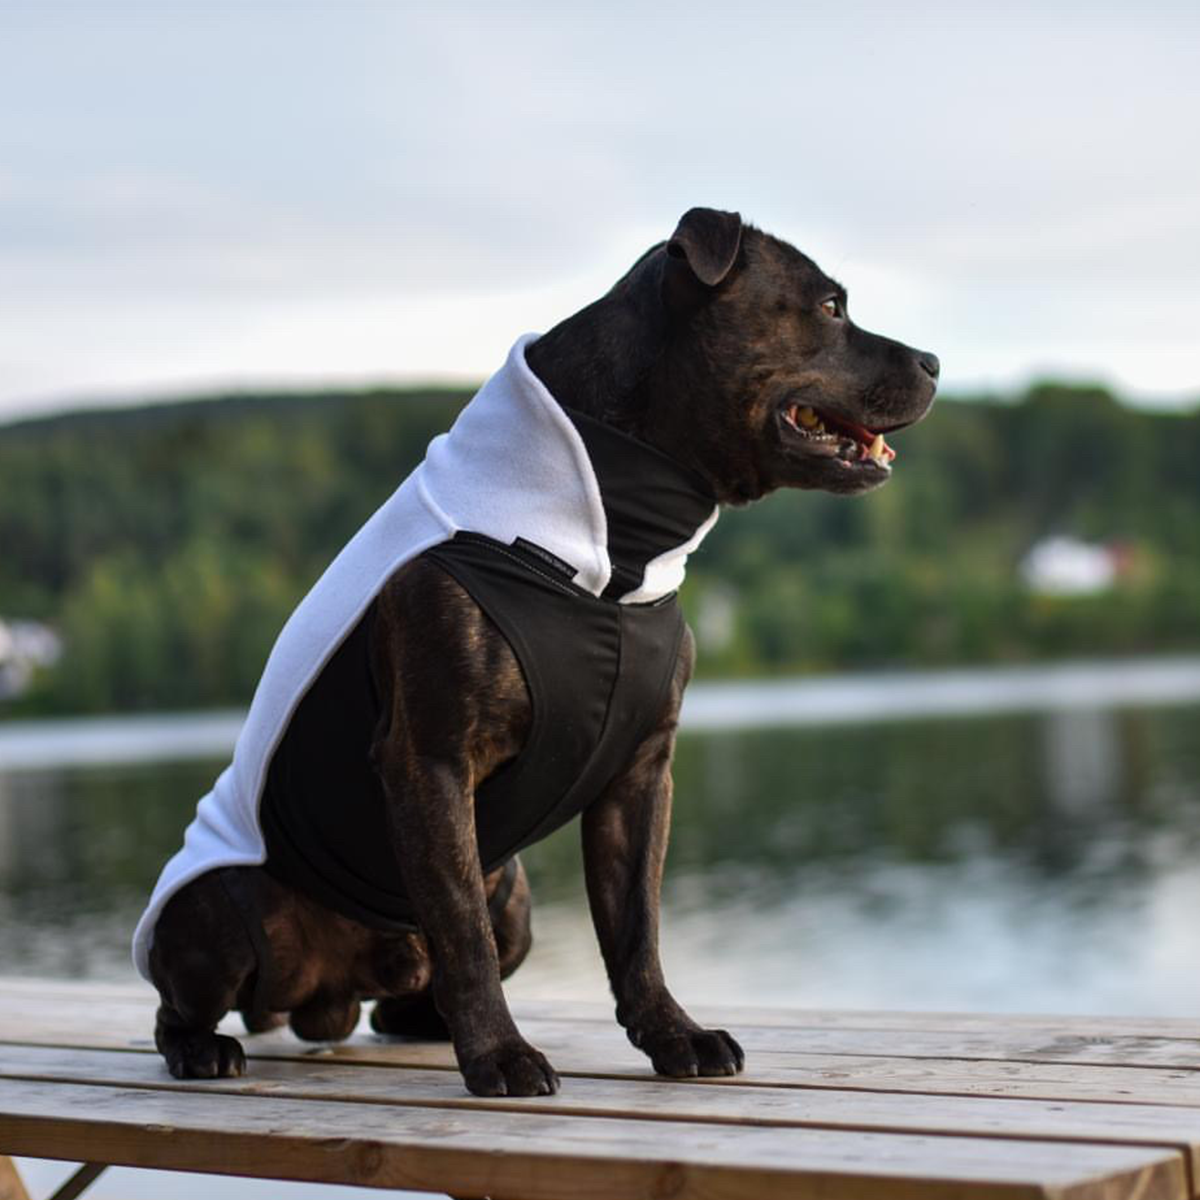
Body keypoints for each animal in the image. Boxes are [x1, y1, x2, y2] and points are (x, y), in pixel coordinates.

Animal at [133, 208, 936, 1099]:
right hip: (223, 907)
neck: (615, 552)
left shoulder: (640, 776)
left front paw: (674, 1035)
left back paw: (421, 1022)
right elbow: (464, 935)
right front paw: (500, 1056)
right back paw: (205, 1049)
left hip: (510, 894)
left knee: (418, 988)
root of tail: (326, 1002)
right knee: (184, 1002)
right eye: (830, 307)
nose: (934, 362)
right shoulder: (431, 761)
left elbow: (635, 928)